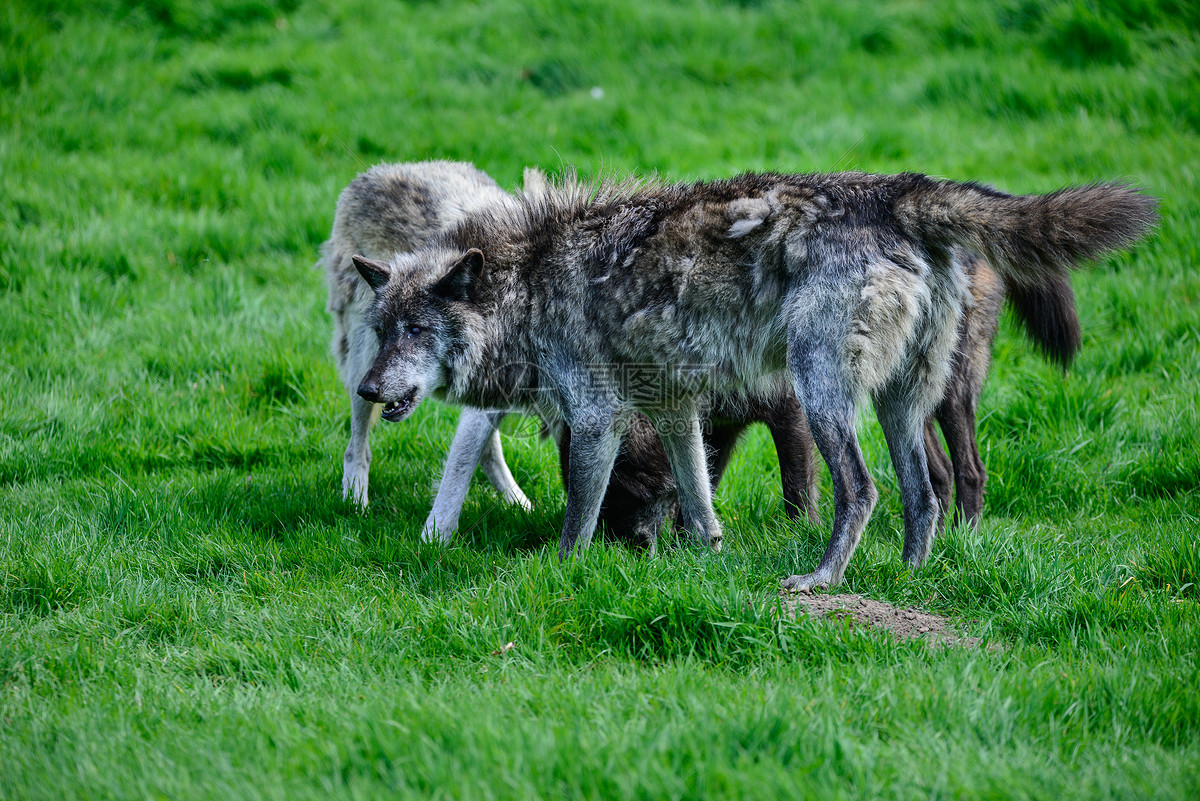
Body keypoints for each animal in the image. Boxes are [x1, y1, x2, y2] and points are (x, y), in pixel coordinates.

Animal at [352, 170, 1152, 587]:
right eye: (383, 328)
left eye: (416, 331)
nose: (366, 390)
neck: (529, 282)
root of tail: (902, 188)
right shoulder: (676, 413)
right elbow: (699, 499)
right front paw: (706, 556)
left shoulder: (598, 417)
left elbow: (577, 514)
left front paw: (560, 572)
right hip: (902, 403)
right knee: (926, 492)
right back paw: (908, 575)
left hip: (825, 395)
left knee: (863, 490)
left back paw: (822, 580)